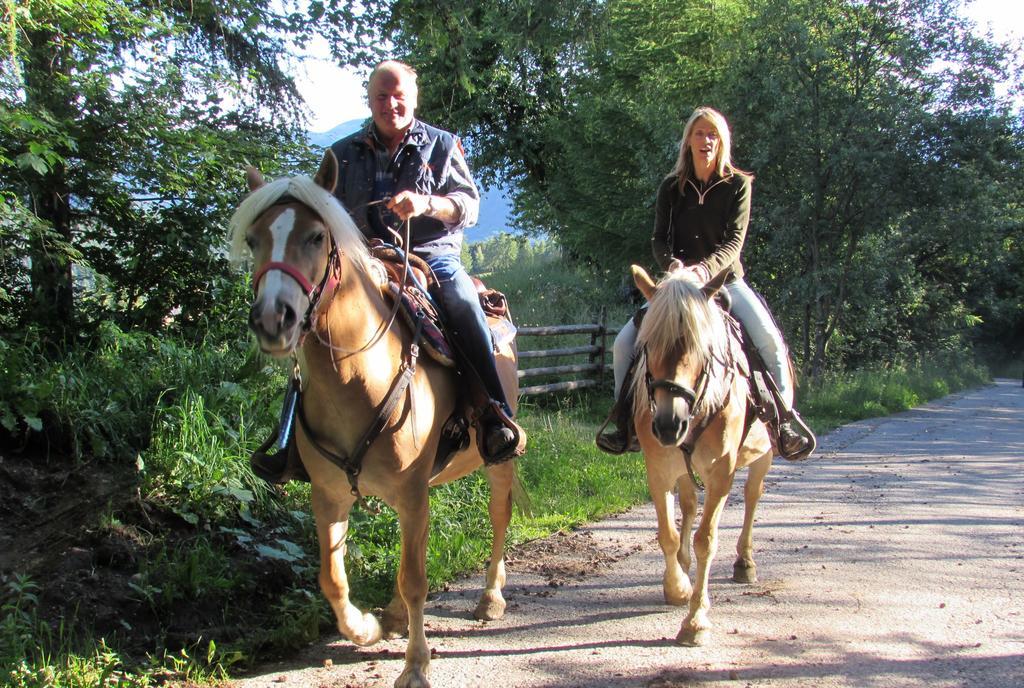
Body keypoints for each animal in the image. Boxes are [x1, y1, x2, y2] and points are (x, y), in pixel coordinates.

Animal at [228, 154, 524, 688]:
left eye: (315, 236)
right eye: (255, 239)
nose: (272, 319)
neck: (358, 376)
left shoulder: (410, 493)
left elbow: (416, 580)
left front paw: (416, 664)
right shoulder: (329, 496)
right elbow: (332, 578)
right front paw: (365, 627)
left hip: (498, 460)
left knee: (498, 517)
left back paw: (491, 597)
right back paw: (391, 615)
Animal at [622, 262, 774, 647]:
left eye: (702, 346)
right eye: (647, 344)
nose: (668, 424)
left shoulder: (722, 473)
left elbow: (706, 539)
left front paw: (695, 622)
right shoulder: (659, 470)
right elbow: (669, 533)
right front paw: (677, 587)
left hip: (763, 456)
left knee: (752, 495)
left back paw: (744, 563)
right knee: (690, 504)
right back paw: (684, 566)